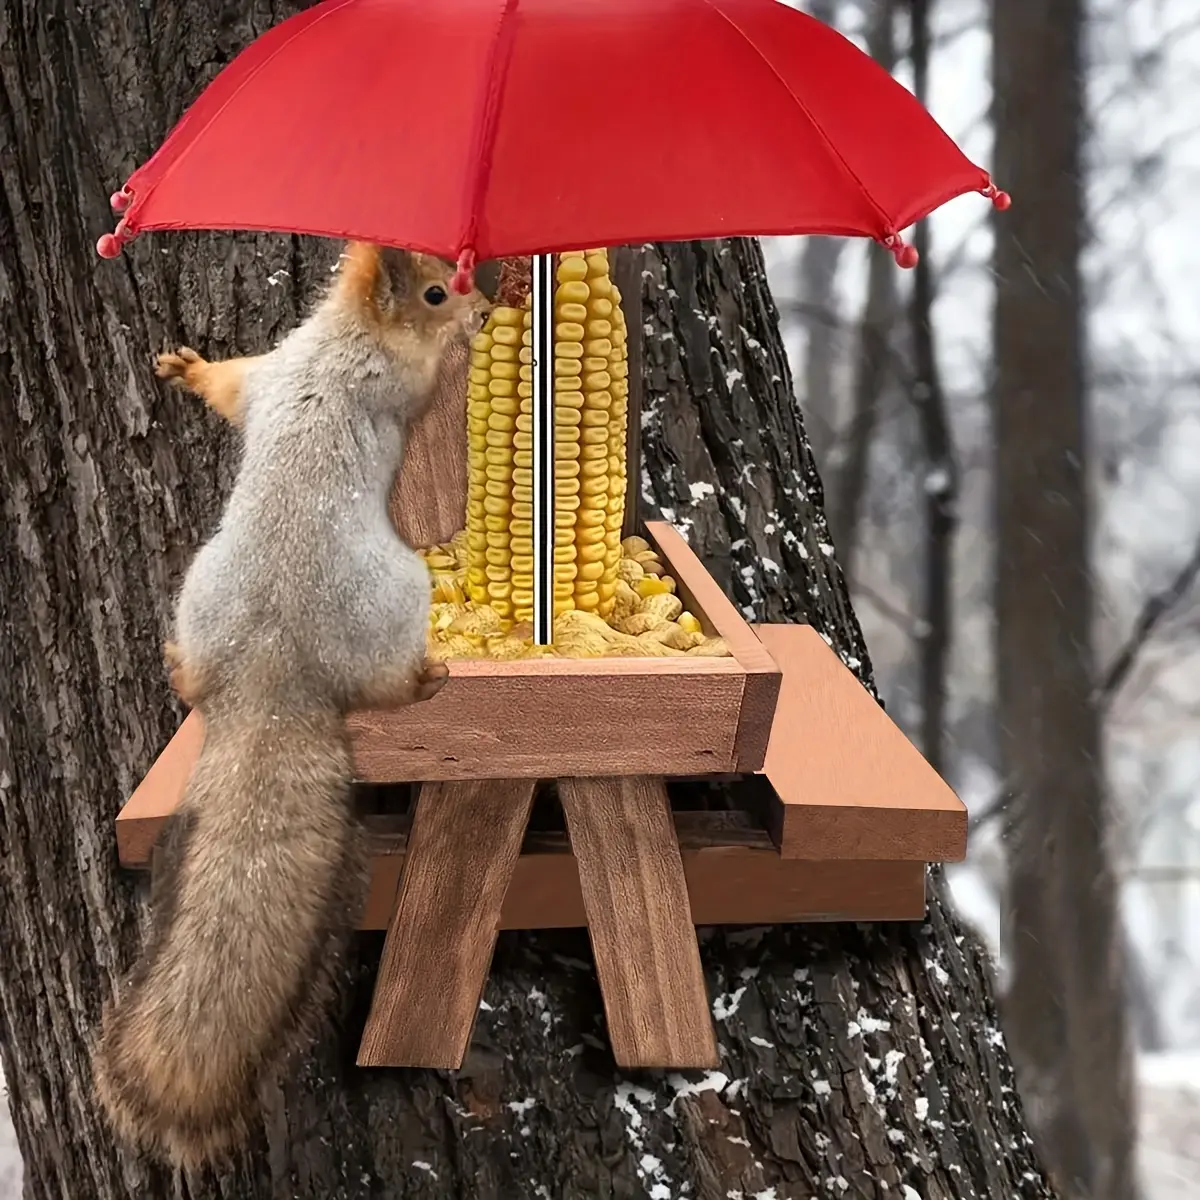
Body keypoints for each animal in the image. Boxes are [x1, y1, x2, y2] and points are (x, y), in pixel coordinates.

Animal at [91, 242, 489, 1168]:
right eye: (435, 291)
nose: (486, 306)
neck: (344, 340)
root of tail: (273, 678)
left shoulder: (270, 370)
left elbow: (230, 384)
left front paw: (186, 368)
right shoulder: (395, 381)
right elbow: (431, 387)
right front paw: (470, 343)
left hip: (197, 593)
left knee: (194, 675)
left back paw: (178, 665)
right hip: (397, 600)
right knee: (383, 686)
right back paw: (425, 681)